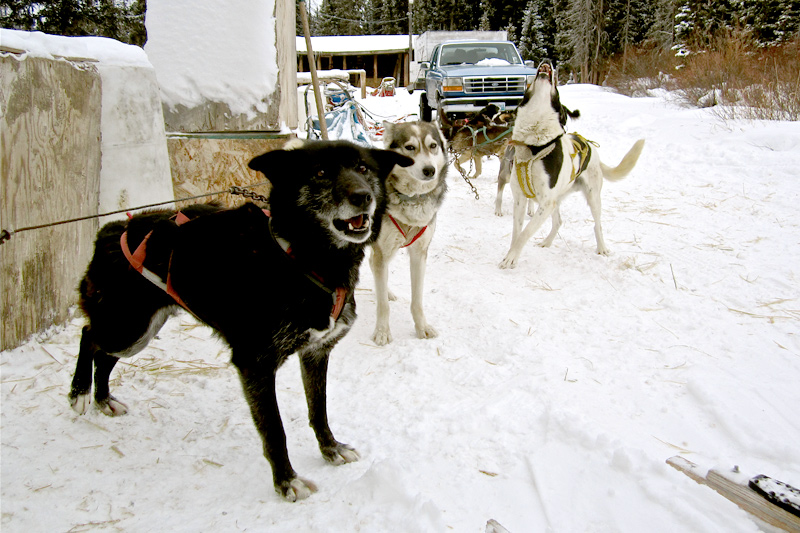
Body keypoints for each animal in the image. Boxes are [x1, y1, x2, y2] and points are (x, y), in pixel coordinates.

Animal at [69, 139, 412, 500]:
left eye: (363, 168)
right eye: (320, 172)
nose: (363, 196)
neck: (298, 257)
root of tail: (111, 229)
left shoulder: (316, 352)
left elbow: (318, 409)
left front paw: (330, 449)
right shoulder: (255, 365)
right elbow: (275, 430)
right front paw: (286, 481)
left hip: (138, 334)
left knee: (103, 356)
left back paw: (103, 400)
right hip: (128, 330)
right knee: (88, 335)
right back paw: (80, 393)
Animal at [370, 119, 450, 344]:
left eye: (433, 146)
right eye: (410, 147)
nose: (429, 170)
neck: (411, 198)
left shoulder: (418, 253)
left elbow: (417, 300)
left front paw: (422, 327)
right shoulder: (382, 250)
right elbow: (382, 306)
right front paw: (382, 331)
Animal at [496, 62, 648, 268]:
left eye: (557, 91)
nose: (546, 61)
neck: (534, 146)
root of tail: (591, 147)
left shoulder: (546, 202)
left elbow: (525, 233)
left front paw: (511, 258)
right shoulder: (521, 199)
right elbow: (516, 233)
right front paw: (511, 254)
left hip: (592, 197)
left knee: (597, 224)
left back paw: (602, 248)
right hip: (557, 200)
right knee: (558, 221)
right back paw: (547, 242)